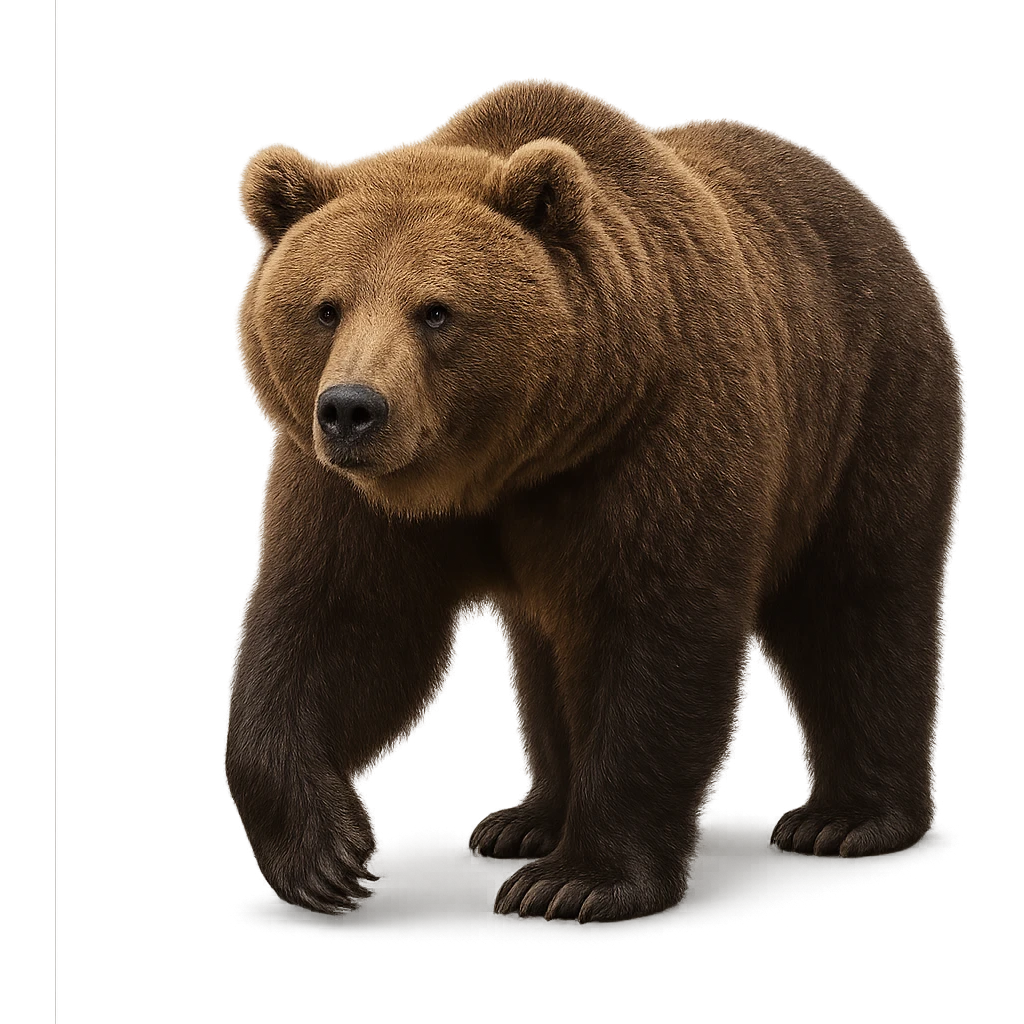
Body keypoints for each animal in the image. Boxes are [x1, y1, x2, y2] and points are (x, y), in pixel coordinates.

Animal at [226, 79, 963, 924]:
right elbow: (339, 619)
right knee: (549, 652)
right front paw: (325, 855)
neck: (510, 462)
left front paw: (578, 881)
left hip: (866, 401)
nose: (352, 408)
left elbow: (649, 638)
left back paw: (848, 820)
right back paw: (528, 820)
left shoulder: (654, 436)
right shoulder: (354, 493)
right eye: (326, 307)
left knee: (858, 602)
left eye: (436, 309)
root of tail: (870, 209)